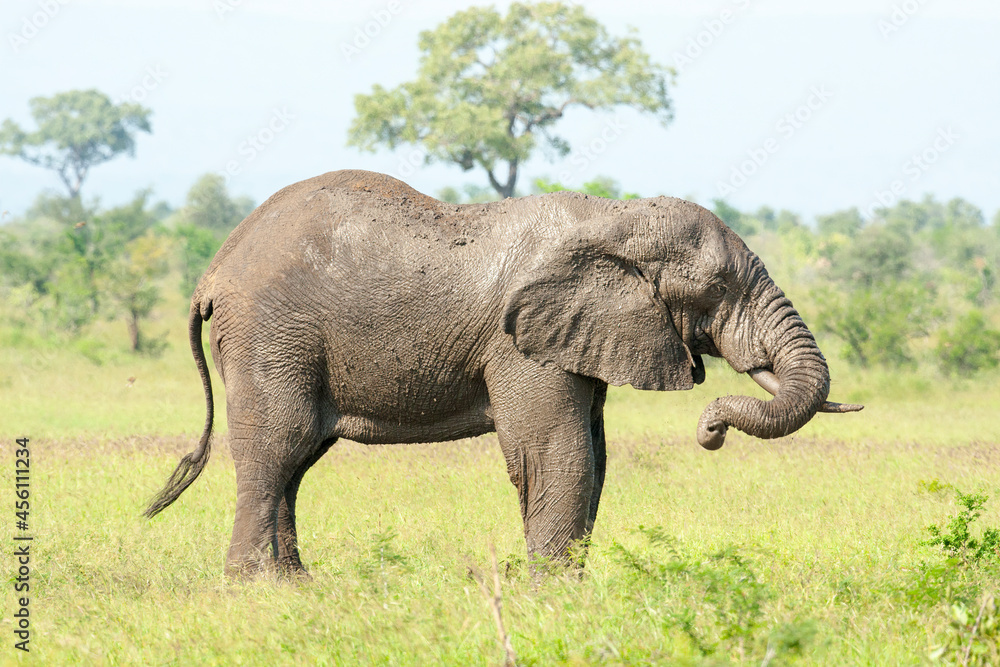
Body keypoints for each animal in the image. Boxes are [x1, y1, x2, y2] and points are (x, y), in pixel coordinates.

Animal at [145, 169, 860, 578]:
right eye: (716, 288)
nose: (710, 427)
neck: (616, 215)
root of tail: (214, 269)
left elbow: (593, 454)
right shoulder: (522, 344)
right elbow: (554, 453)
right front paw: (555, 598)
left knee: (297, 459)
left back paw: (297, 585)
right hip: (271, 336)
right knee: (279, 446)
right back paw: (255, 587)